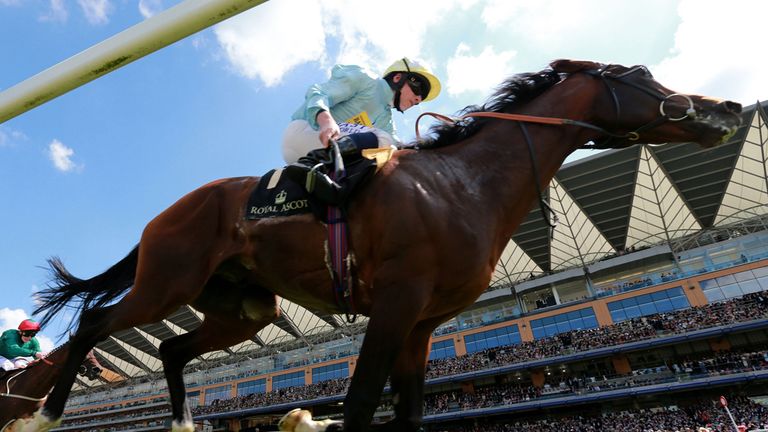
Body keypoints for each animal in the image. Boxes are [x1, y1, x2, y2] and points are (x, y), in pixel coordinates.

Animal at [22, 59, 741, 432]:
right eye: (641, 75)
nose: (728, 107)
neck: (462, 184)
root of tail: (163, 214)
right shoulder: (396, 301)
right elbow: (362, 398)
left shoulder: (423, 322)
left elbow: (410, 409)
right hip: (166, 280)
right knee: (95, 323)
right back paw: (44, 416)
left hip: (243, 308)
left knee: (171, 347)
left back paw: (180, 422)